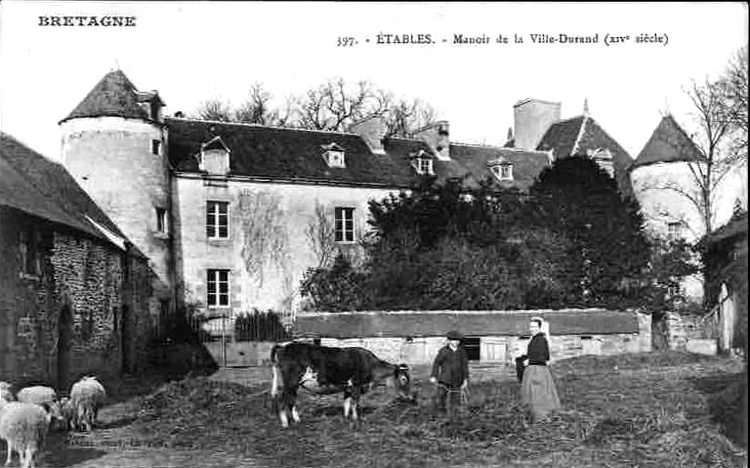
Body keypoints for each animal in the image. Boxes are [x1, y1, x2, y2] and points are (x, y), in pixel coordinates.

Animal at [270, 340, 414, 428]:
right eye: (404, 379)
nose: (411, 397)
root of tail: (284, 345)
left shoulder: (348, 387)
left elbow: (347, 403)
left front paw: (346, 418)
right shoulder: (356, 384)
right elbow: (355, 403)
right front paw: (357, 420)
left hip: (291, 384)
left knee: (291, 400)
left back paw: (297, 420)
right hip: (290, 382)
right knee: (282, 399)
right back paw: (285, 423)